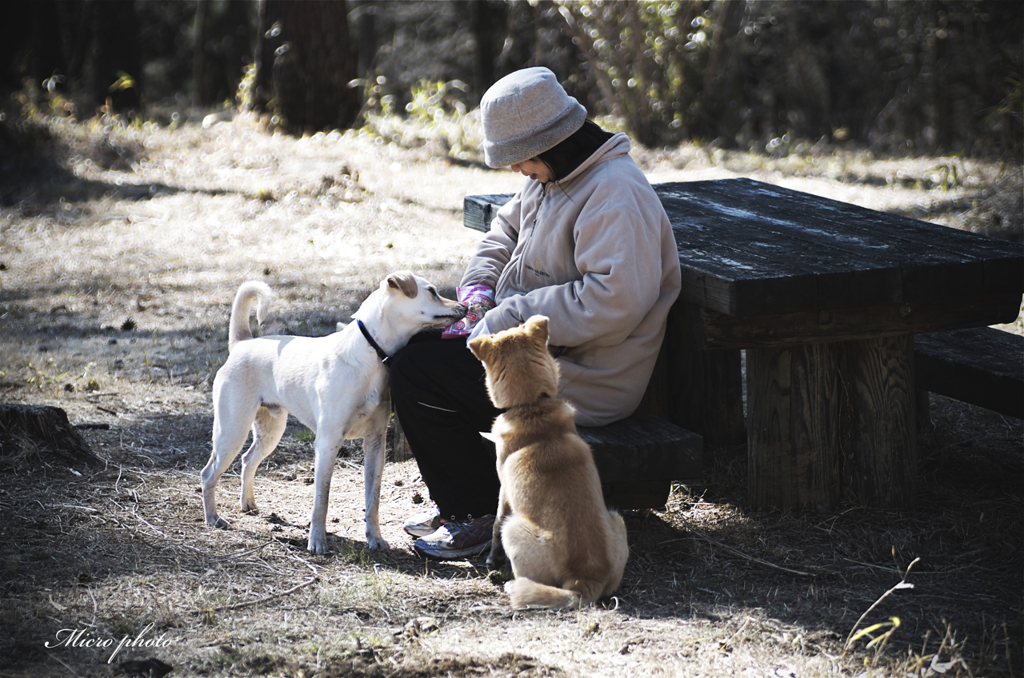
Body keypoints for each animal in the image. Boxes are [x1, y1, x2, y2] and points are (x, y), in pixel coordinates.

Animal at [199, 274, 464, 557]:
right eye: (432, 292)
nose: (465, 307)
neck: (370, 355)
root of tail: (243, 342)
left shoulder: (375, 443)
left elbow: (373, 499)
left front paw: (375, 539)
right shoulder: (328, 443)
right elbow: (321, 499)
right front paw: (317, 541)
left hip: (270, 432)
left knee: (248, 460)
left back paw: (247, 504)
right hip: (232, 432)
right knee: (208, 474)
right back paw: (213, 518)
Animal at [468, 315, 626, 614]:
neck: (532, 406)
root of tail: (585, 580)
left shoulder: (503, 492)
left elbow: (494, 524)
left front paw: (493, 559)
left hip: (514, 529)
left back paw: (511, 584)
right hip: (617, 518)